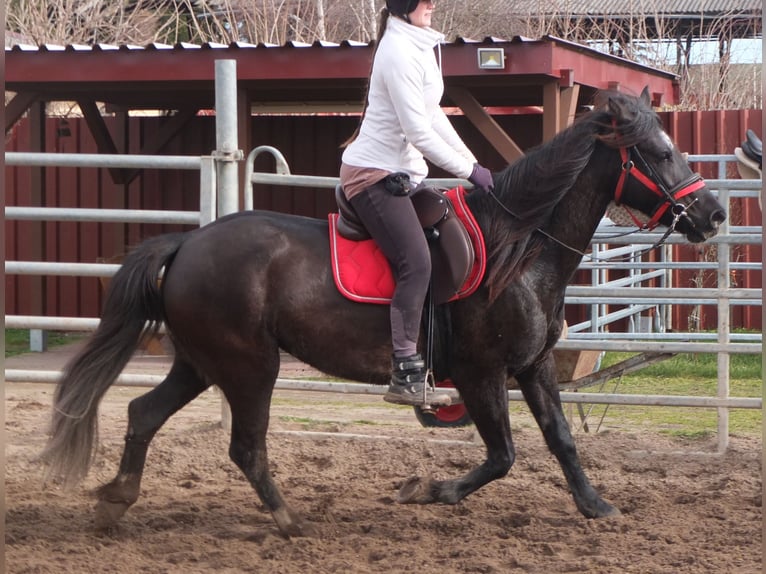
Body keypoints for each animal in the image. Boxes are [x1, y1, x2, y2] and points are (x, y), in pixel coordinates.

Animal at [40, 90, 728, 540]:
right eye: (658, 151)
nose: (714, 214)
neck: (520, 249)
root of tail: (187, 244)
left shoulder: (532, 368)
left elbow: (560, 439)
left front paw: (595, 506)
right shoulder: (480, 374)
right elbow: (503, 455)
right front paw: (430, 489)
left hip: (203, 362)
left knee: (143, 413)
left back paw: (116, 502)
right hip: (249, 367)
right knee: (245, 445)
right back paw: (288, 520)